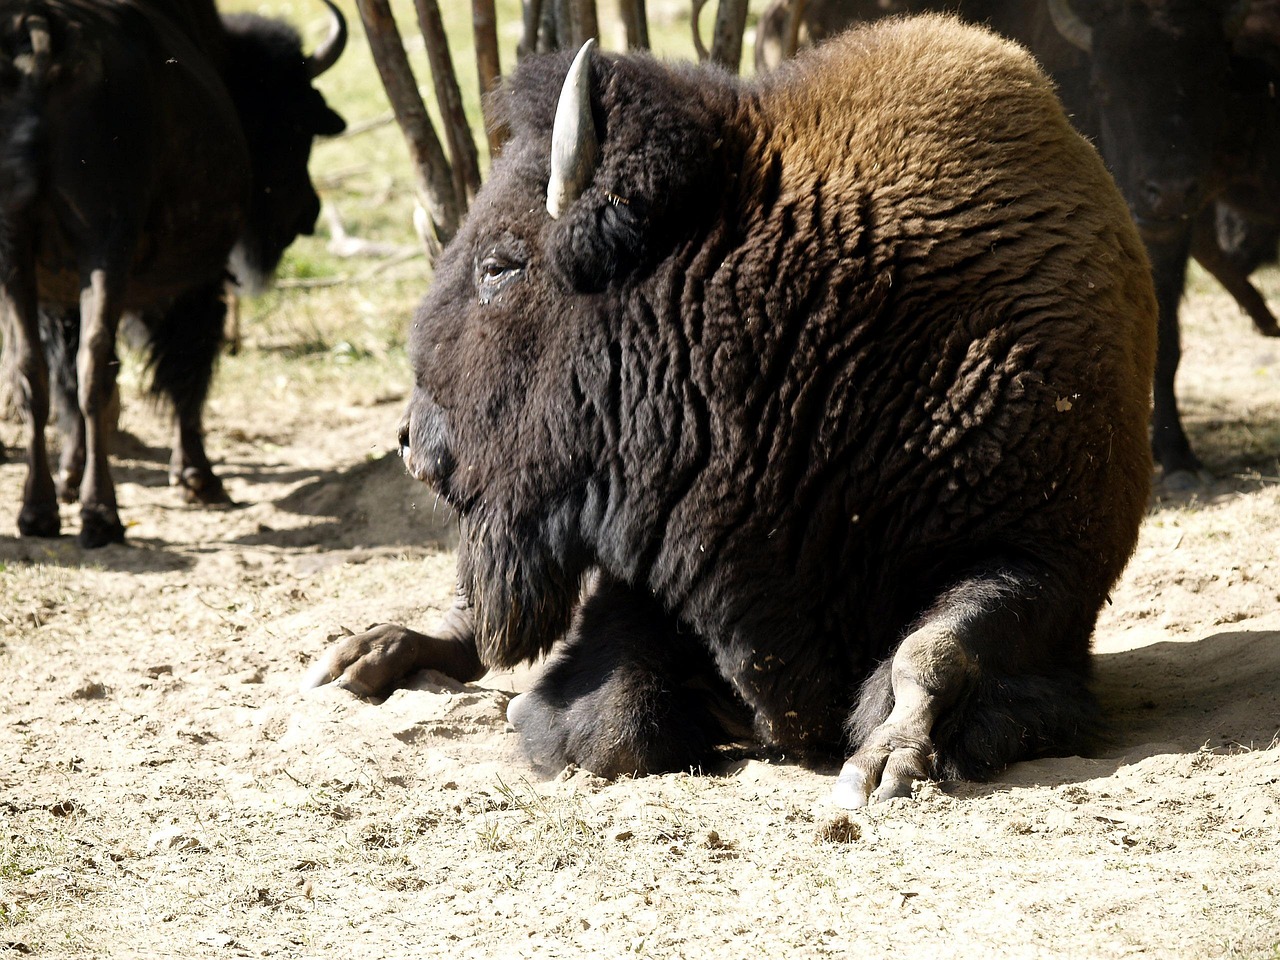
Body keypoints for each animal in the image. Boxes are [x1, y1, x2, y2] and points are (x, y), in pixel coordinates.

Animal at [0, 0, 348, 545]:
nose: (308, 212)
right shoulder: (197, 283)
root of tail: (43, 40)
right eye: (296, 122)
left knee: (31, 371)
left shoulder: (55, 292)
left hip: (15, 252)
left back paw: (38, 513)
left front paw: (69, 475)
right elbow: (187, 371)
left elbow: (62, 379)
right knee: (96, 367)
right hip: (105, 247)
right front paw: (199, 478)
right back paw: (102, 515)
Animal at [309, 16, 1162, 814]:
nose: (412, 440)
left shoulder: (1044, 561)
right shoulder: (651, 562)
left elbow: (935, 649)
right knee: (468, 626)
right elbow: (616, 716)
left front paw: (888, 763)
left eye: (500, 265)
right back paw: (363, 655)